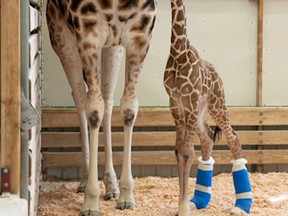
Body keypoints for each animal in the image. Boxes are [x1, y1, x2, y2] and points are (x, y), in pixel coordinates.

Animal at [45, 0, 156, 215]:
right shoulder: (88, 37)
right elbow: (94, 111)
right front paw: (90, 203)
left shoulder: (139, 36)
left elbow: (129, 109)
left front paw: (126, 196)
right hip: (62, 40)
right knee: (80, 98)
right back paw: (84, 180)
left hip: (112, 48)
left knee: (108, 99)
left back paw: (111, 186)